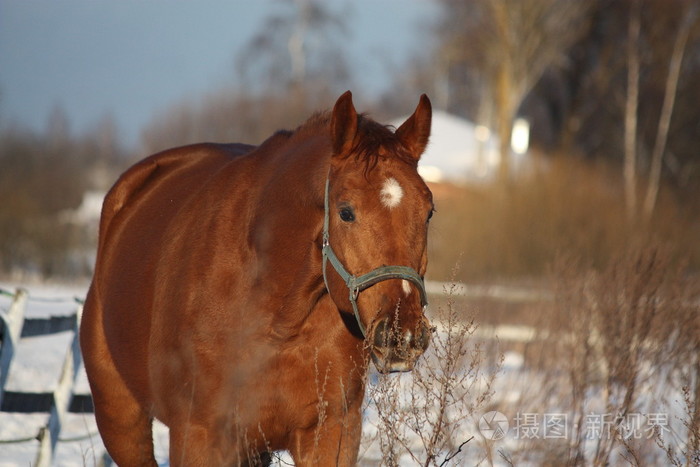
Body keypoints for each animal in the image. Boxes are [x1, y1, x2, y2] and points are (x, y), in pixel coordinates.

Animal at [80, 91, 432, 467]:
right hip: (121, 420)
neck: (274, 320)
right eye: (346, 212)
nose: (403, 333)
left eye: (428, 211)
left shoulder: (332, 433)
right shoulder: (198, 436)